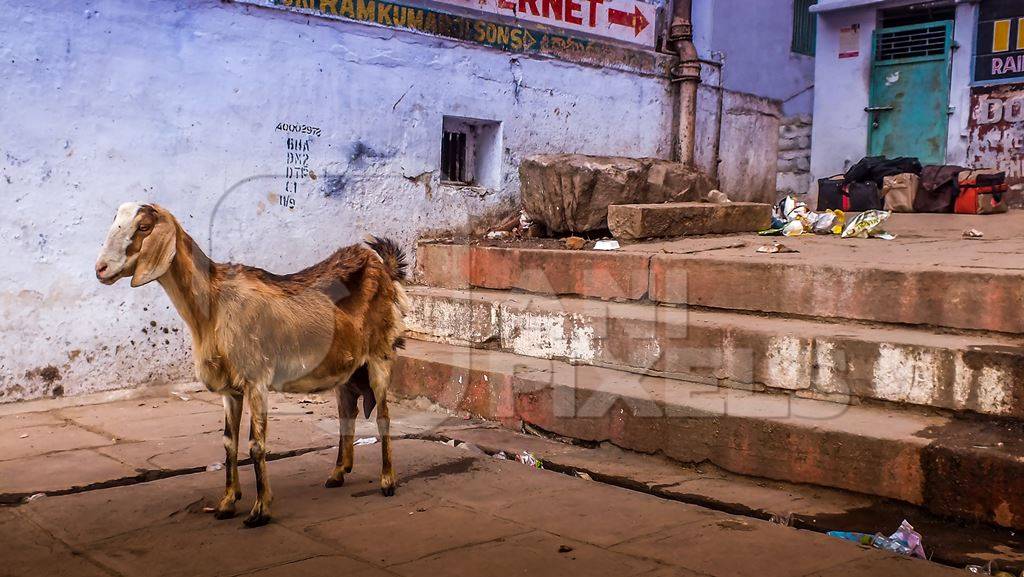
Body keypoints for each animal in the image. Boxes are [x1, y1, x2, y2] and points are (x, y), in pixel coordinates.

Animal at [94, 203, 407, 528]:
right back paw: (337, 474)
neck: (213, 305)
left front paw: (260, 510)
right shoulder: (230, 390)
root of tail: (382, 266)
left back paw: (387, 481)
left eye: (143, 227)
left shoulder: (256, 381)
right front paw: (227, 503)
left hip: (380, 355)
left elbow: (256, 444)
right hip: (345, 371)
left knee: (383, 416)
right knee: (347, 413)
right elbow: (228, 442)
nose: (100, 269)